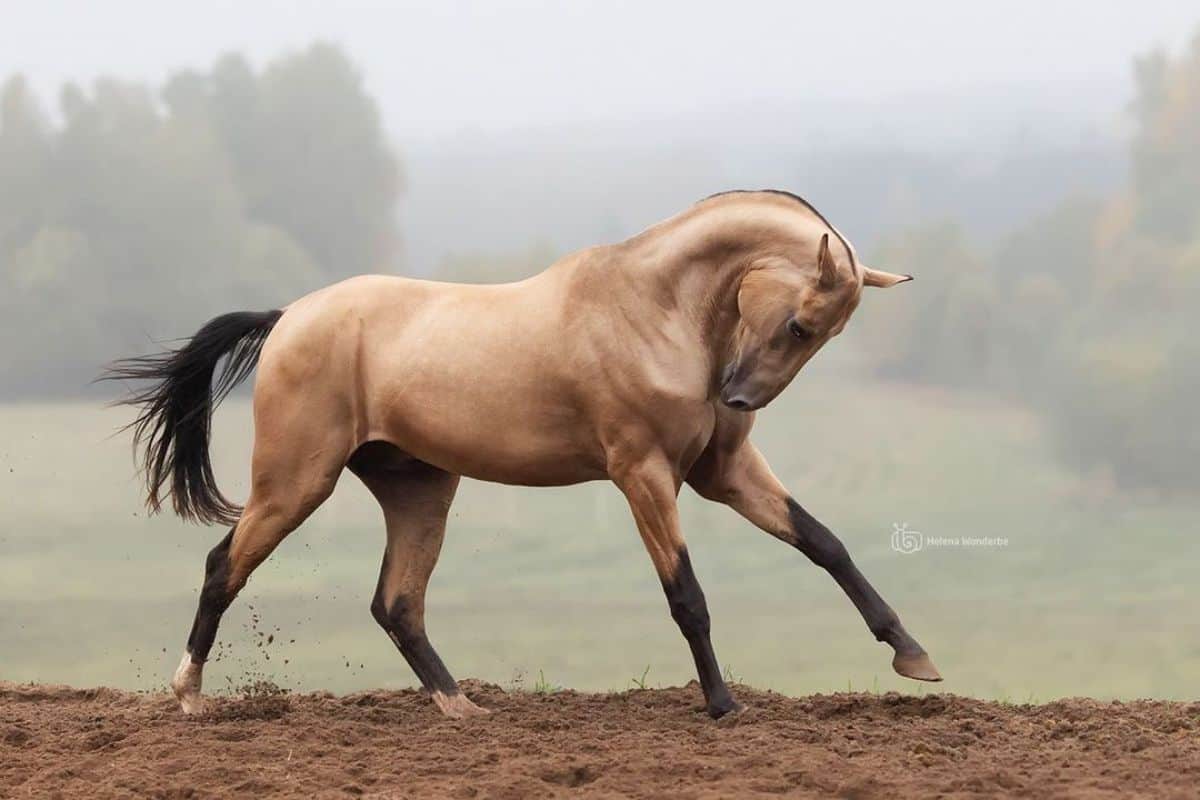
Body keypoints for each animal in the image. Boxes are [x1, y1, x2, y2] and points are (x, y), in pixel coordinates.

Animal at [105, 190, 936, 724]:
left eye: (824, 333)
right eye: (801, 324)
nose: (738, 399)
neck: (657, 309)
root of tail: (288, 318)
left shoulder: (721, 474)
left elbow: (825, 544)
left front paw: (912, 655)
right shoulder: (643, 476)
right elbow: (686, 596)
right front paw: (724, 705)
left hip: (421, 488)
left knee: (396, 603)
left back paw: (460, 706)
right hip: (295, 483)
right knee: (226, 566)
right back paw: (189, 694)